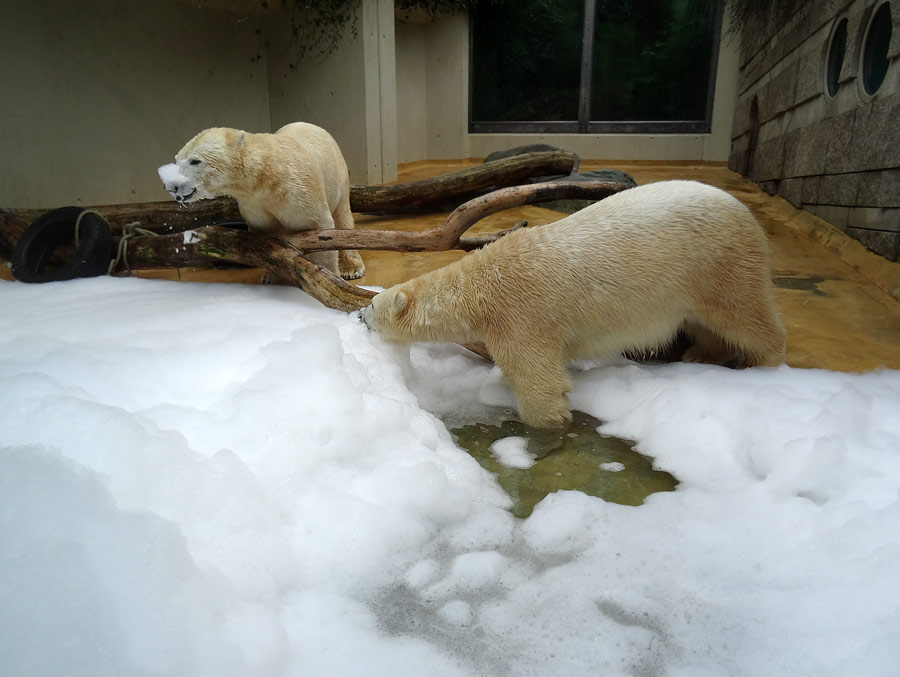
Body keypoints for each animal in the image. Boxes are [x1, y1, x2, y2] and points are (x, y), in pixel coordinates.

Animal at [159, 121, 366, 280]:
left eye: (195, 161)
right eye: (177, 159)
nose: (171, 186)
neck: (267, 179)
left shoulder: (300, 193)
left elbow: (322, 230)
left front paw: (331, 276)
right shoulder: (254, 205)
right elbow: (268, 239)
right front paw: (271, 276)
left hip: (338, 177)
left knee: (342, 217)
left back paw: (352, 268)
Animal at [358, 180, 780, 428]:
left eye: (374, 306)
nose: (359, 315)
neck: (481, 286)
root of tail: (742, 210)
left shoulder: (520, 316)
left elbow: (538, 377)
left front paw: (549, 420)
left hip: (718, 262)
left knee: (746, 317)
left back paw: (763, 365)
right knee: (700, 321)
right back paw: (699, 355)